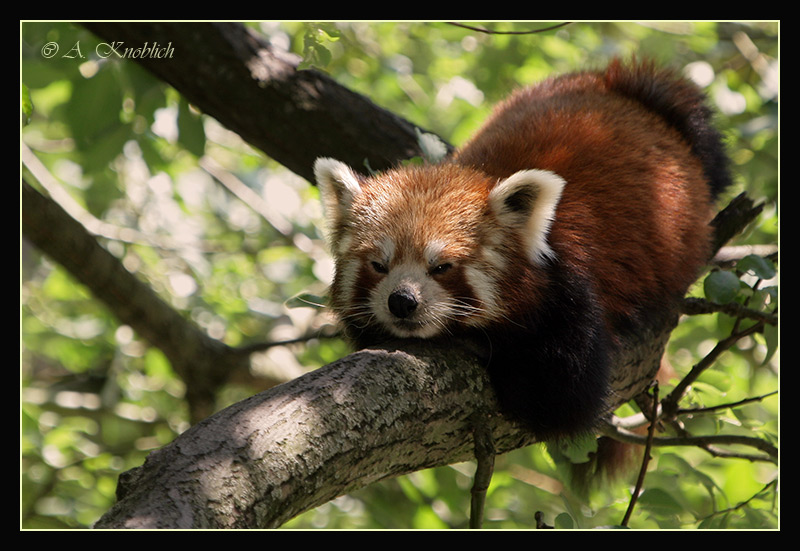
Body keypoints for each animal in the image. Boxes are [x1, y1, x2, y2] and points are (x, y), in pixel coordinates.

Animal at [312, 59, 732, 440]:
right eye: (379, 265)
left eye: (442, 267)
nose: (401, 301)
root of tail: (611, 83)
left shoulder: (570, 296)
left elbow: (561, 400)